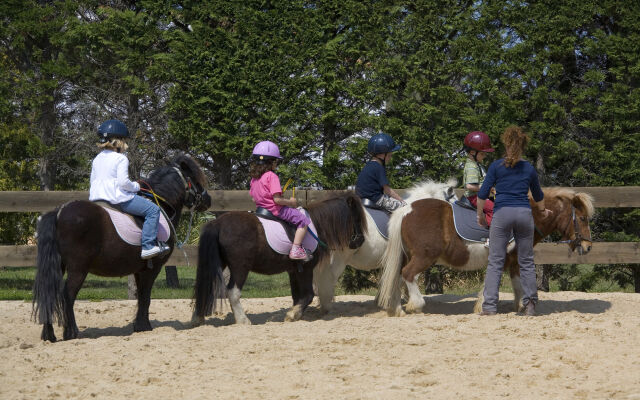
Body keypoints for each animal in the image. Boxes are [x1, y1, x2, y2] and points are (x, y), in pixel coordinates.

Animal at [33, 155, 210, 342]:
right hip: (78, 268)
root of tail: (59, 212)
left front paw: (139, 326)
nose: (208, 200)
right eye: (196, 180)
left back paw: (49, 335)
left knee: (49, 293)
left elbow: (141, 296)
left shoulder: (140, 269)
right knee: (67, 294)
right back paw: (71, 333)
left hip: (58, 266)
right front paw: (145, 326)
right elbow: (146, 296)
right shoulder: (152, 269)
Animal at [191, 194, 364, 324]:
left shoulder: (294, 271)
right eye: (357, 219)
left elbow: (297, 296)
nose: (360, 241)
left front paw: (296, 313)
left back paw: (197, 318)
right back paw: (243, 320)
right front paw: (293, 315)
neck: (315, 224)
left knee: (205, 286)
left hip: (219, 263)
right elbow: (308, 295)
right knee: (233, 292)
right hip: (240, 268)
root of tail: (218, 223)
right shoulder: (306, 269)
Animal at [376, 188, 596, 316]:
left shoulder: (514, 260)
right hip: (424, 256)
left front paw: (520, 306)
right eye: (583, 218)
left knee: (397, 277)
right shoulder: (505, 258)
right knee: (408, 274)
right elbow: (495, 282)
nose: (588, 246)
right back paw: (416, 304)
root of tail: (406, 210)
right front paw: (485, 306)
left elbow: (516, 284)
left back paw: (397, 309)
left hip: (408, 255)